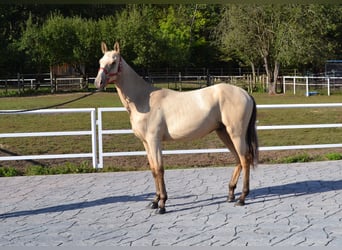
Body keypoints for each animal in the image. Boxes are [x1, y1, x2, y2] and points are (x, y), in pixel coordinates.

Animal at [95, 42, 258, 214]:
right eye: (100, 61)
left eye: (113, 62)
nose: (98, 82)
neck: (144, 99)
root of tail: (246, 94)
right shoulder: (146, 143)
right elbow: (153, 169)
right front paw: (154, 201)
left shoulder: (154, 141)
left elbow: (159, 169)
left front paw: (162, 204)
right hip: (224, 133)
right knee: (238, 160)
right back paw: (231, 194)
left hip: (236, 134)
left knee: (245, 159)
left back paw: (242, 198)